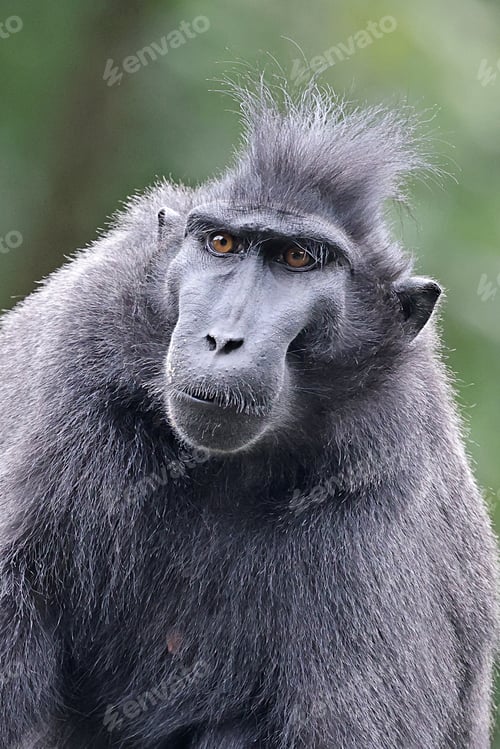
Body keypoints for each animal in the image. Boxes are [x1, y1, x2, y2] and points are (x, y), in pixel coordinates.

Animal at [0, 79, 497, 748]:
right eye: (222, 244)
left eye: (298, 260)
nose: (223, 339)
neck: (222, 467)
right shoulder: (81, 363)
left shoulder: (378, 480)